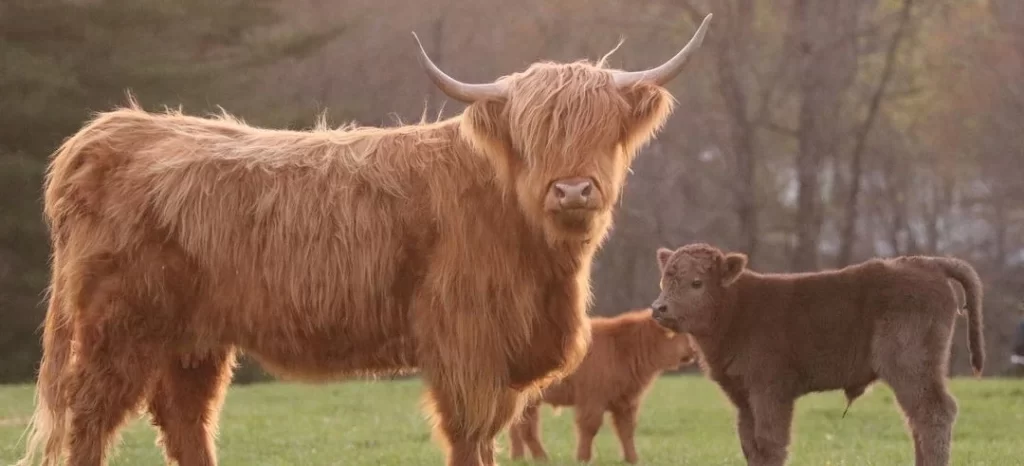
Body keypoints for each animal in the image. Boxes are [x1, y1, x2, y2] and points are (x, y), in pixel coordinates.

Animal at [505, 309, 692, 464]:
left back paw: (518, 457)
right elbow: (590, 428)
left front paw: (632, 459)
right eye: (679, 333)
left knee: (516, 427)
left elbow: (626, 430)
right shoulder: (593, 401)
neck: (625, 347)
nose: (693, 352)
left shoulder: (626, 402)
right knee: (526, 429)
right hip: (530, 401)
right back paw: (542, 458)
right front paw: (583, 458)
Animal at [651, 242, 978, 466]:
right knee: (918, 420)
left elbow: (770, 442)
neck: (738, 306)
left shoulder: (770, 392)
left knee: (934, 413)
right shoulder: (743, 396)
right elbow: (749, 443)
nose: (659, 308)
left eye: (696, 282)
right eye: (664, 280)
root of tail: (926, 264)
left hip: (910, 367)